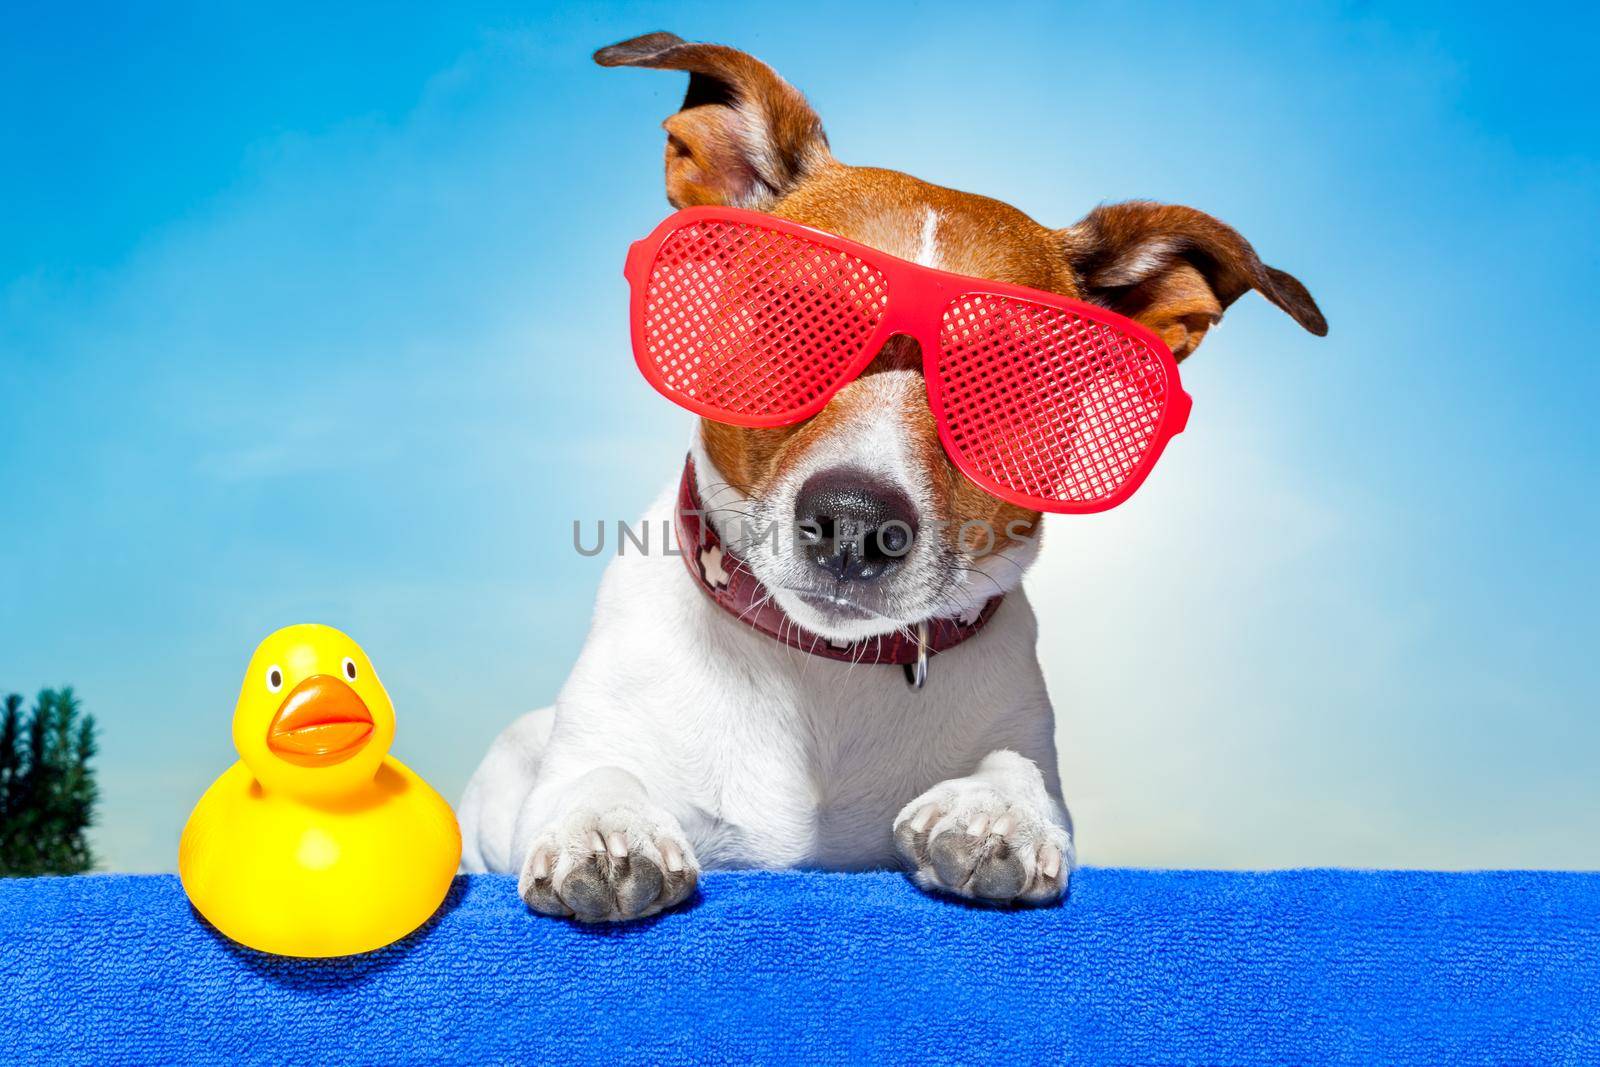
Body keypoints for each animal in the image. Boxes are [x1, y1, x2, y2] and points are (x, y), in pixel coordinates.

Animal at [460, 29, 1324, 921]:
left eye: (1006, 375)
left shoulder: (1029, 742)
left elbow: (1019, 772)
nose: (854, 521)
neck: (822, 671)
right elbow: (592, 775)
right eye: (797, 318)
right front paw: (606, 822)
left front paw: (997, 809)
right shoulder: (573, 754)